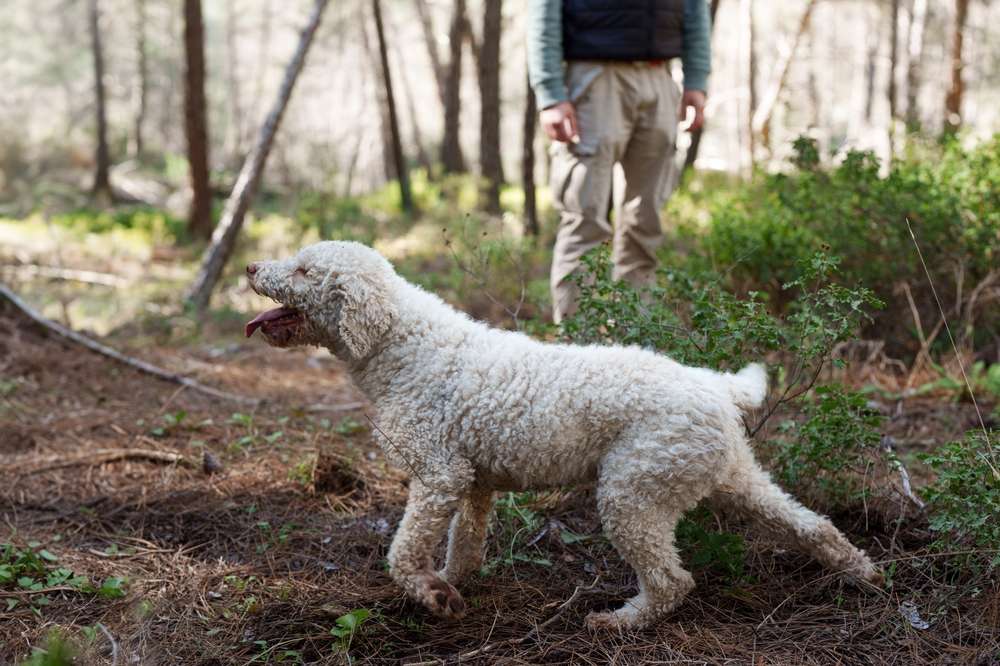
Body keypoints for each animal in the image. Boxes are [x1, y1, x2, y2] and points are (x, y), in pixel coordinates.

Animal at [246, 240, 880, 628]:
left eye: (304, 270)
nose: (250, 268)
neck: (404, 346)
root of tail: (716, 387)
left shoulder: (438, 474)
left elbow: (402, 553)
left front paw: (432, 595)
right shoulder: (473, 484)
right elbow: (464, 546)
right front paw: (449, 581)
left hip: (631, 493)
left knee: (672, 580)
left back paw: (620, 622)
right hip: (730, 476)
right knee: (813, 524)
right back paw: (862, 573)